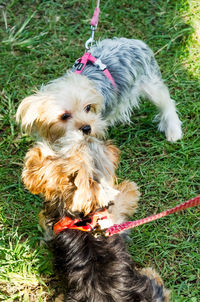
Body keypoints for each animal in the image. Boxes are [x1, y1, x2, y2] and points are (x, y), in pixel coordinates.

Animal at [16, 37, 182, 144]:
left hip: (150, 82)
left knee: (167, 102)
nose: (86, 128)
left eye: (88, 108)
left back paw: (173, 130)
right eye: (64, 116)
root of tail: (136, 42)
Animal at [21, 133, 170, 302]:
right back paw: (152, 274)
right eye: (99, 150)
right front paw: (129, 189)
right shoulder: (111, 219)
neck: (74, 216)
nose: (111, 144)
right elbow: (117, 202)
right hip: (150, 290)